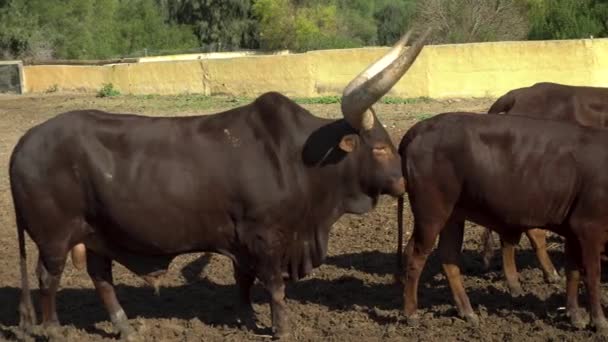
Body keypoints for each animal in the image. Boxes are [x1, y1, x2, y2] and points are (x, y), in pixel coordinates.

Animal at [7, 28, 430, 340]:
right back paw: (54, 329)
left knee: (100, 277)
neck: (296, 158)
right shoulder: (265, 236)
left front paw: (246, 316)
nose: (403, 182)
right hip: (55, 237)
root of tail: (24, 143)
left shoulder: (242, 240)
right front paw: (281, 328)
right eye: (379, 148)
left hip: (97, 233)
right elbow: (274, 285)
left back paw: (125, 327)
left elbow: (244, 280)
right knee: (48, 278)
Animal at [400, 112, 608, 334]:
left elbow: (573, 272)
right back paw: (412, 315)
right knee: (415, 256)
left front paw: (575, 316)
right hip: (431, 215)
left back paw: (468, 312)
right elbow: (592, 275)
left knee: (448, 258)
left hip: (453, 216)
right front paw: (599, 321)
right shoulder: (588, 228)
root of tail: (421, 127)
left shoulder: (573, 233)